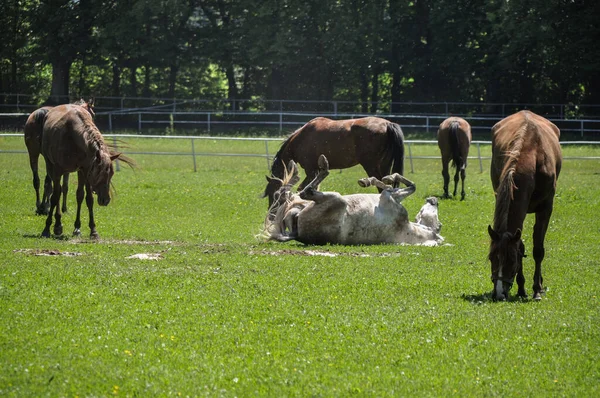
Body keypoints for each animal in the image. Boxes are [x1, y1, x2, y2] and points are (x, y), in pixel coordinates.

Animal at [40, 103, 132, 239]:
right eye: (99, 173)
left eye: (111, 174)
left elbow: (86, 198)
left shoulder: (85, 171)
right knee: (57, 192)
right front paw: (47, 228)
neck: (72, 135)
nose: (105, 200)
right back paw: (57, 225)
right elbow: (55, 197)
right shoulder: (57, 170)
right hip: (50, 166)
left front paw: (89, 230)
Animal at [262, 116, 404, 211]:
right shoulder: (316, 171)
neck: (301, 139)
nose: (271, 211)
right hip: (384, 166)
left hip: (371, 166)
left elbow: (302, 188)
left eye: (274, 194)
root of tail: (388, 124)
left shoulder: (311, 170)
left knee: (382, 186)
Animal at [488, 110, 564, 300]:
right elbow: (521, 246)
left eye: (511, 260)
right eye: (492, 258)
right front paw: (521, 288)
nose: (498, 293)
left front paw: (536, 289)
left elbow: (538, 249)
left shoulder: (545, 209)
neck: (532, 153)